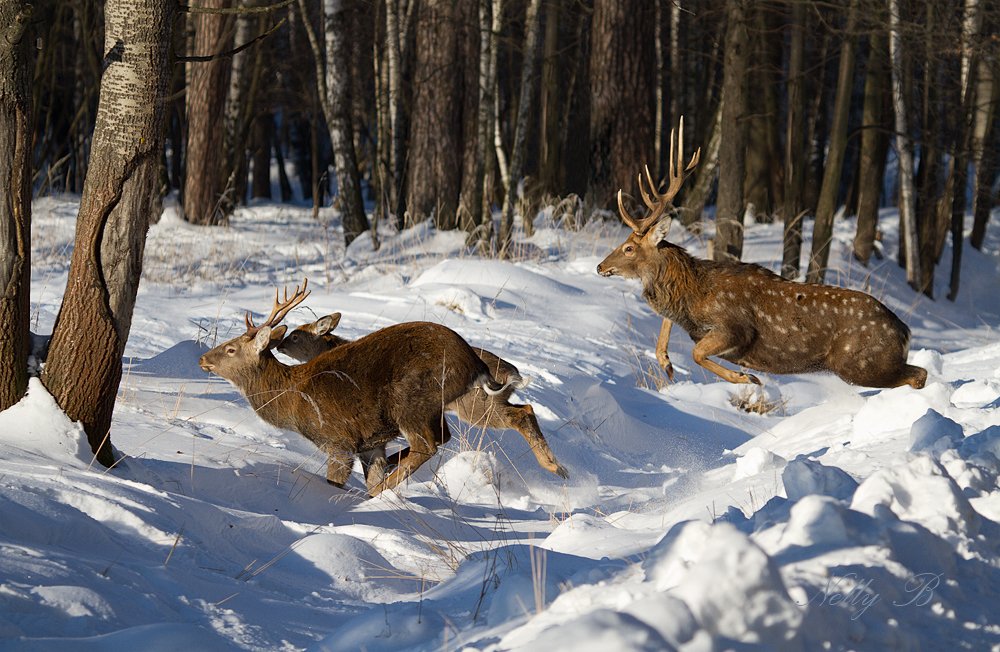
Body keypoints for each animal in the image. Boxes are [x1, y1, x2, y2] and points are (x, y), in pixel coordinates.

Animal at [194, 278, 532, 496]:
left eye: (231, 349)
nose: (202, 359)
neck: (291, 397)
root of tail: (475, 364)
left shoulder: (338, 440)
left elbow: (334, 482)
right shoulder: (372, 443)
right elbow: (372, 472)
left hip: (413, 399)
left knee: (429, 443)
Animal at [274, 310, 572, 478]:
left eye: (296, 335)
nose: (279, 345)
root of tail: (511, 374)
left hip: (474, 407)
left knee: (520, 415)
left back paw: (555, 468)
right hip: (487, 404)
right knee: (525, 409)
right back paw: (560, 468)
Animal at [592, 119, 928, 390]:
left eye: (629, 248)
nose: (600, 266)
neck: (695, 296)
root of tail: (905, 331)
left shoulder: (735, 328)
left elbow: (697, 352)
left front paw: (747, 377)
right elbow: (669, 334)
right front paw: (667, 364)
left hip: (861, 363)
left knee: (918, 374)